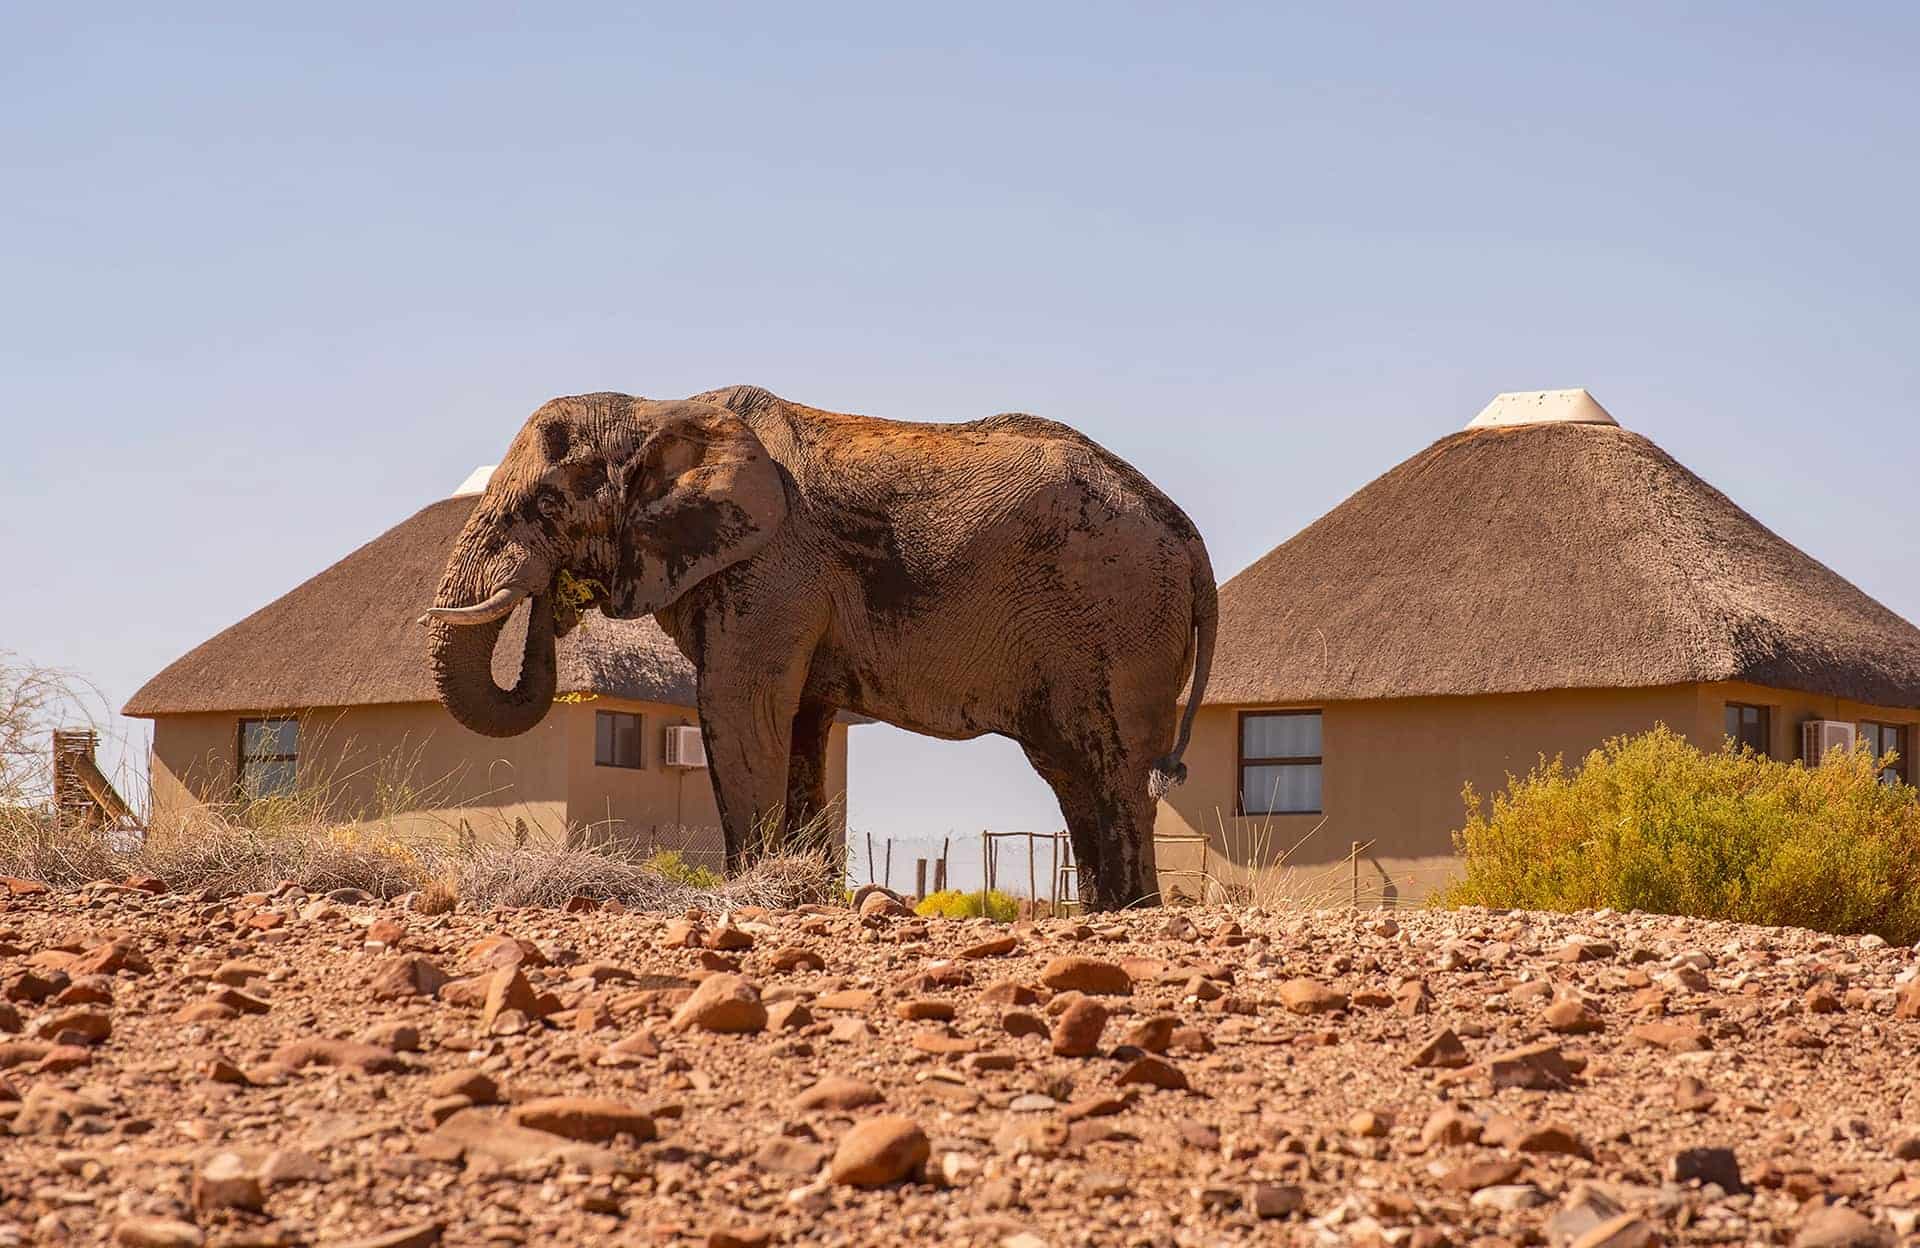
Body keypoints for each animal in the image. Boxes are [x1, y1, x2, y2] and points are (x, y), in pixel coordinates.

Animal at [428, 384, 1221, 910]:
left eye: (545, 504)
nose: (554, 599)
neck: (656, 408)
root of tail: (1186, 533)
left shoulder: (772, 566)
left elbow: (740, 705)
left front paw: (754, 891)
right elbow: (802, 725)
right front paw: (798, 888)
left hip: (1122, 613)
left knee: (1112, 770)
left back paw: (1132, 912)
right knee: (1072, 770)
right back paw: (1107, 910)